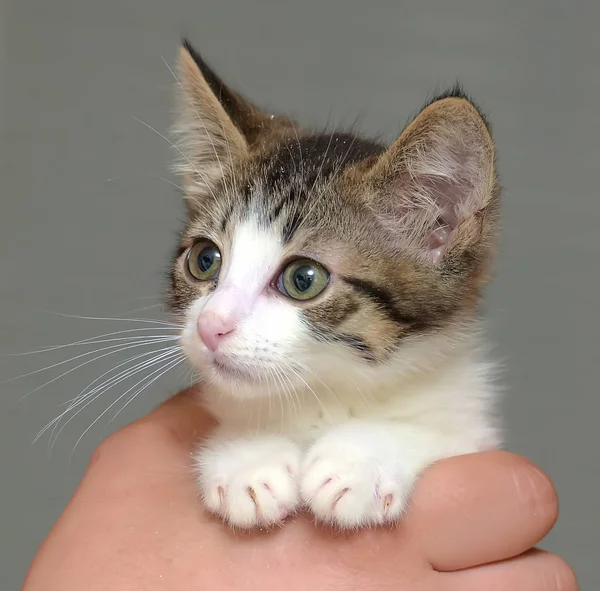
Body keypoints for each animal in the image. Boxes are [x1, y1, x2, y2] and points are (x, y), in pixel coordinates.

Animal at [168, 41, 502, 532]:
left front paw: (358, 463)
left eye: (303, 279)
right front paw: (249, 457)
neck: (325, 397)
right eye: (205, 260)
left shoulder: (475, 431)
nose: (211, 326)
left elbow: (444, 433)